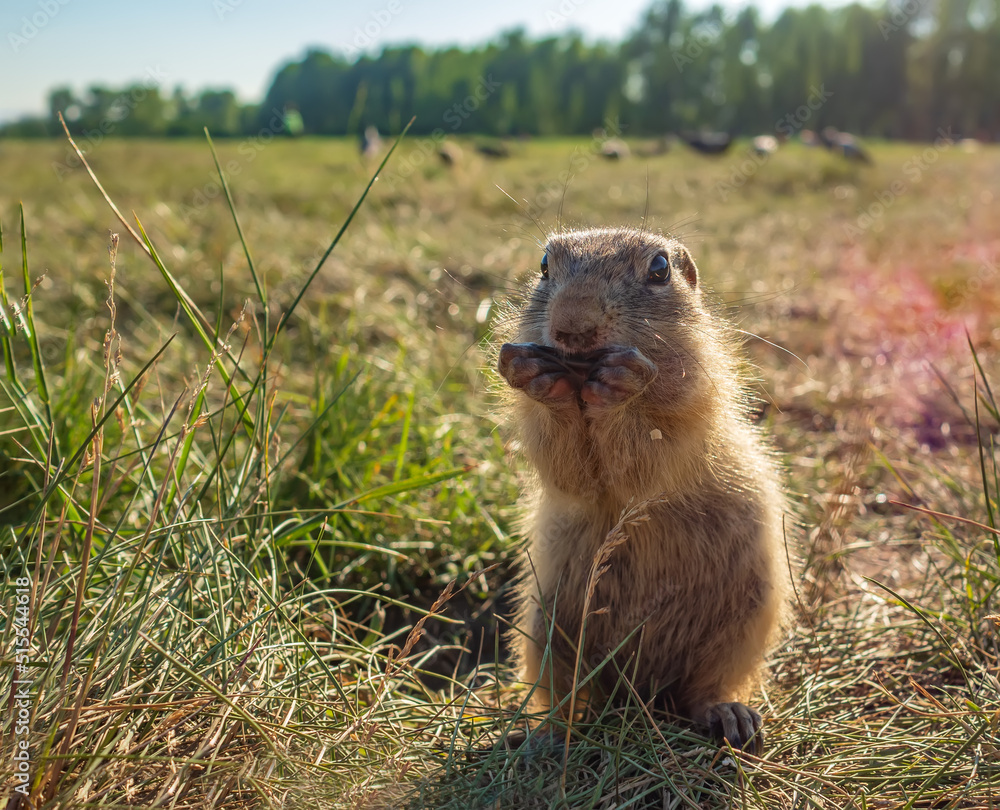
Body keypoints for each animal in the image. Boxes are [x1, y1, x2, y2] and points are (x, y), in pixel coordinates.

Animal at [496, 224, 784, 748]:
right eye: (545, 265)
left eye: (660, 269)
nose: (573, 327)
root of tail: (639, 693)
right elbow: (567, 467)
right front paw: (540, 379)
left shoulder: (692, 406)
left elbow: (645, 458)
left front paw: (621, 386)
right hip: (545, 630)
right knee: (567, 698)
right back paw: (546, 733)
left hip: (743, 626)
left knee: (704, 689)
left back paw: (731, 716)